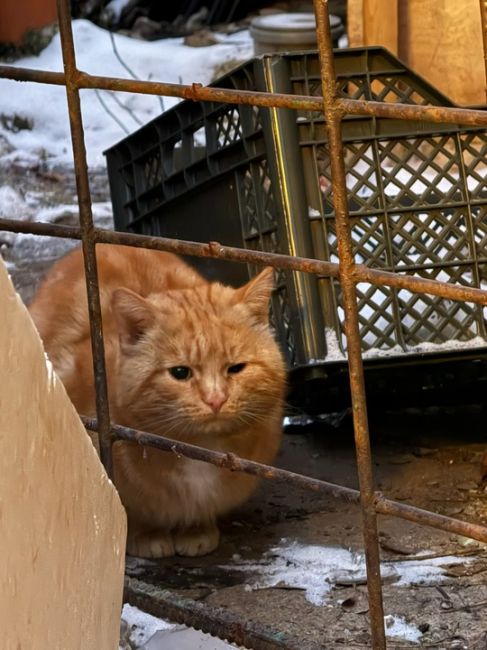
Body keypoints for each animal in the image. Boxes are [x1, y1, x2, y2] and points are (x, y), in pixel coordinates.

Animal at [29, 243, 286, 556]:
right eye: (180, 372)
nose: (216, 399)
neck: (201, 448)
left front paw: (196, 528)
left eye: (236, 368)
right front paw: (148, 534)